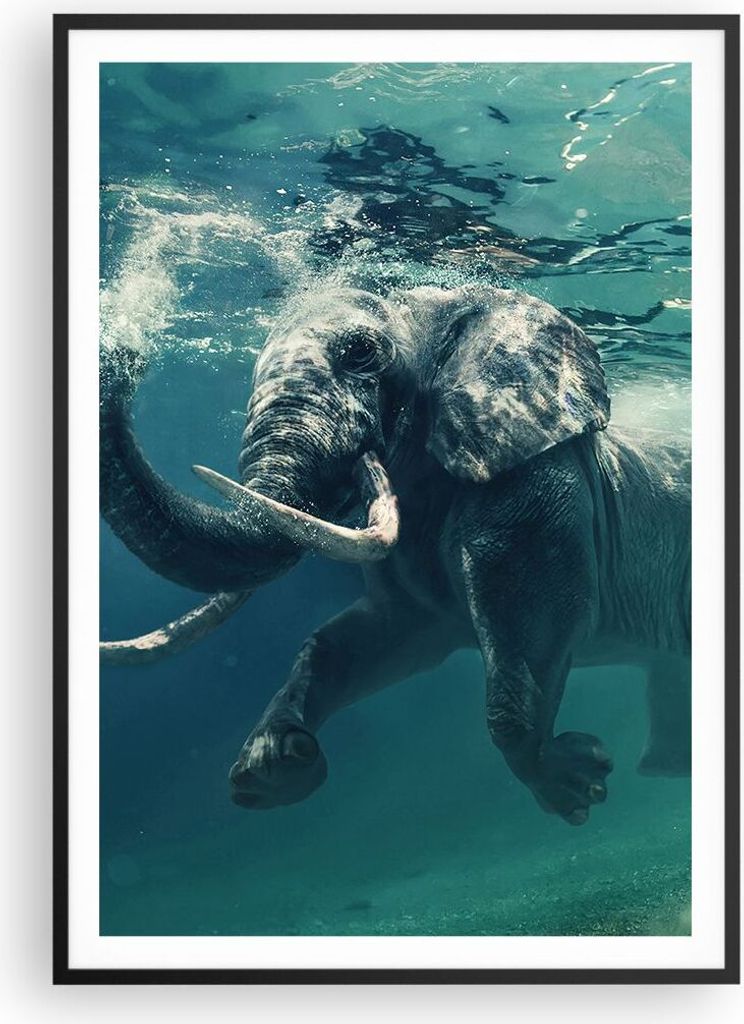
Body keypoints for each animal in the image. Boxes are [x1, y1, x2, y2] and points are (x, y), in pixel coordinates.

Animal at [100, 285, 691, 826]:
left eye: (361, 353)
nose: (123, 355)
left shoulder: (534, 488)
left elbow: (533, 625)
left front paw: (578, 784)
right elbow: (367, 639)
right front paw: (275, 766)